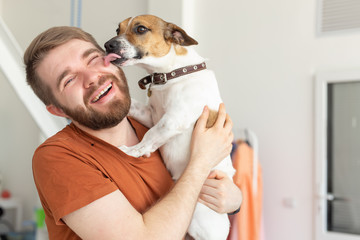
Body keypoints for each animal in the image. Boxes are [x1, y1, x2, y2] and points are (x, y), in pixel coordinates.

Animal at [103, 14, 236, 240]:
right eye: (117, 29)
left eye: (140, 29)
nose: (107, 45)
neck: (173, 73)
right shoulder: (151, 115)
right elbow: (134, 108)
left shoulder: (174, 119)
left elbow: (149, 136)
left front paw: (132, 151)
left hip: (197, 220)